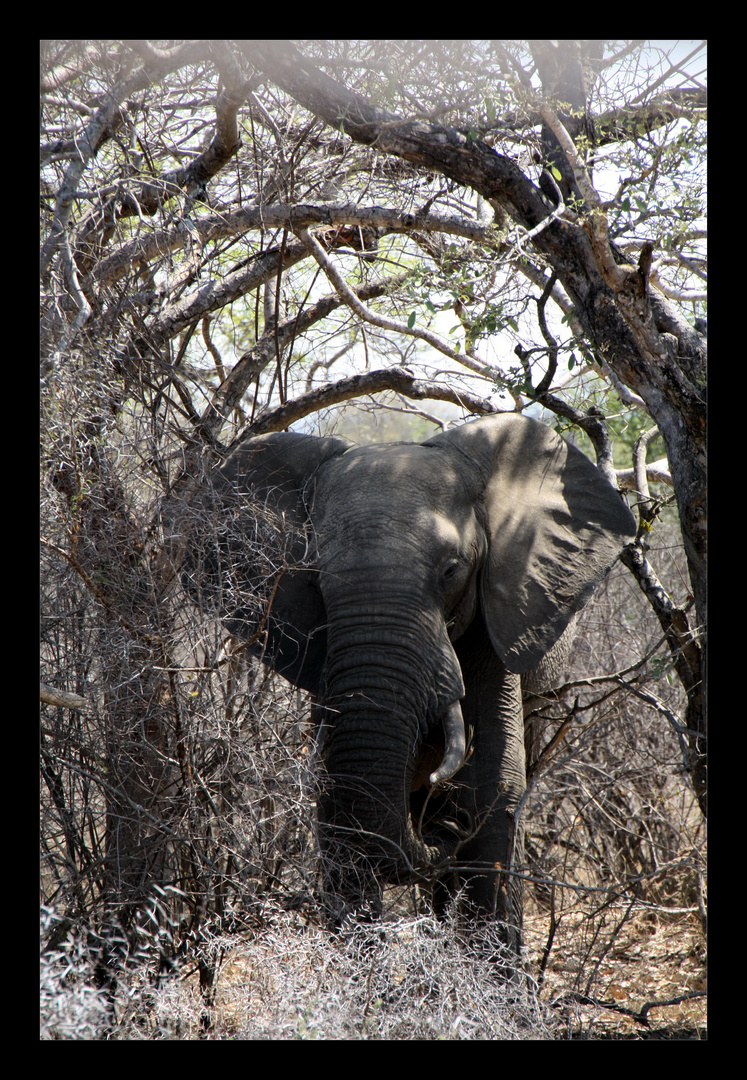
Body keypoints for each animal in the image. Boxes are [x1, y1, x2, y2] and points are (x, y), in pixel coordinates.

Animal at [185, 412, 634, 946]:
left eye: (451, 571)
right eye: (314, 579)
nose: (446, 832)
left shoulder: (499, 616)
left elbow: (495, 782)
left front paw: (493, 968)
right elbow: (336, 798)